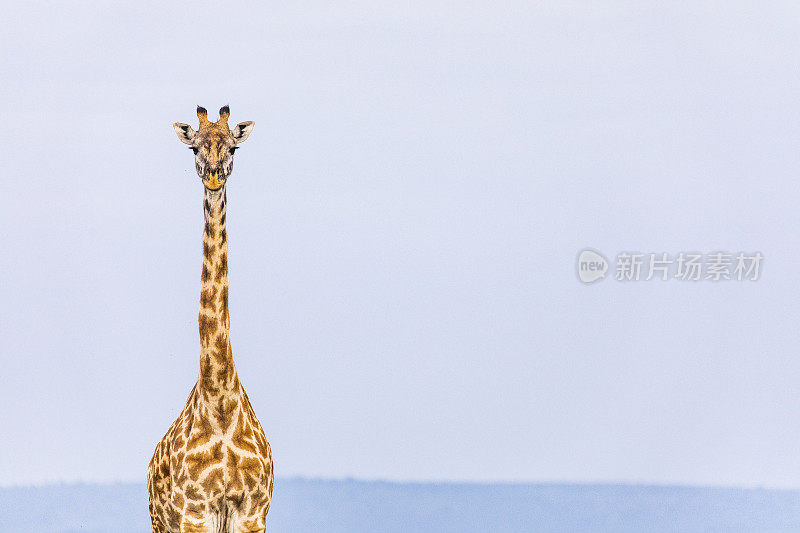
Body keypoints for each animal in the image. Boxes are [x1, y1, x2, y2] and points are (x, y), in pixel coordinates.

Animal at [148, 105, 276, 532]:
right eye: (194, 148)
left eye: (234, 146)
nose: (215, 175)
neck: (220, 400)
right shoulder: (194, 511)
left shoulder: (253, 511)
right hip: (160, 522)